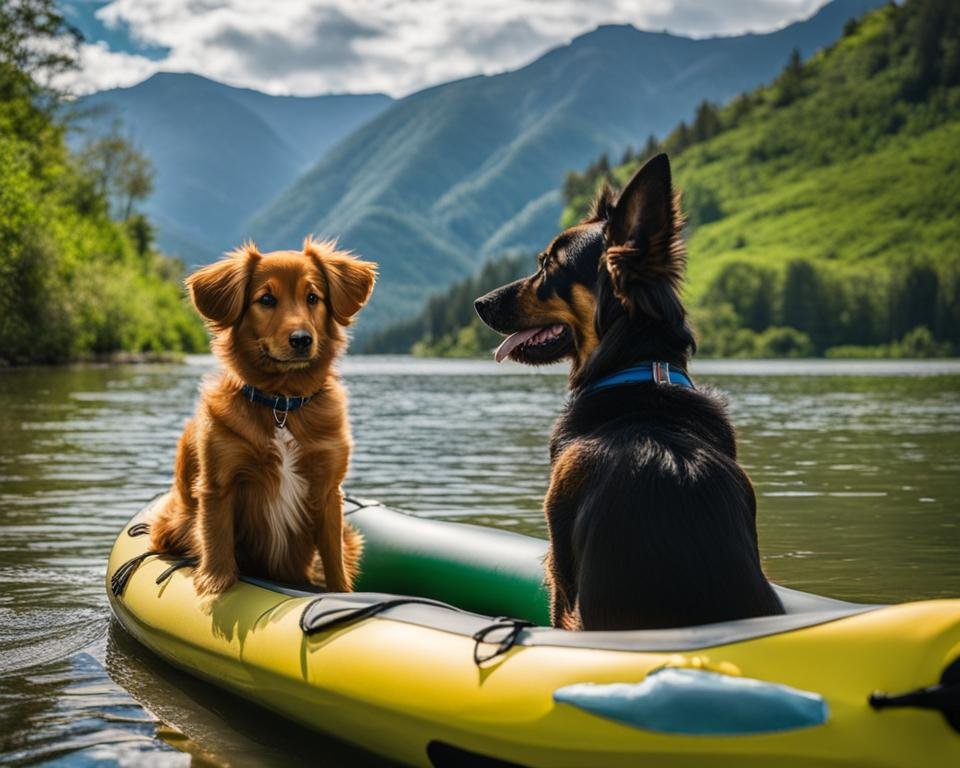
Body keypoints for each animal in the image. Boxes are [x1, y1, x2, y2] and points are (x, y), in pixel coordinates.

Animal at [150, 237, 376, 596]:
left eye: (313, 297)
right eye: (266, 299)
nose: (301, 340)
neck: (282, 404)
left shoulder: (328, 491)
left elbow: (334, 562)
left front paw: (340, 593)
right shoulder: (219, 483)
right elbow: (217, 543)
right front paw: (215, 586)